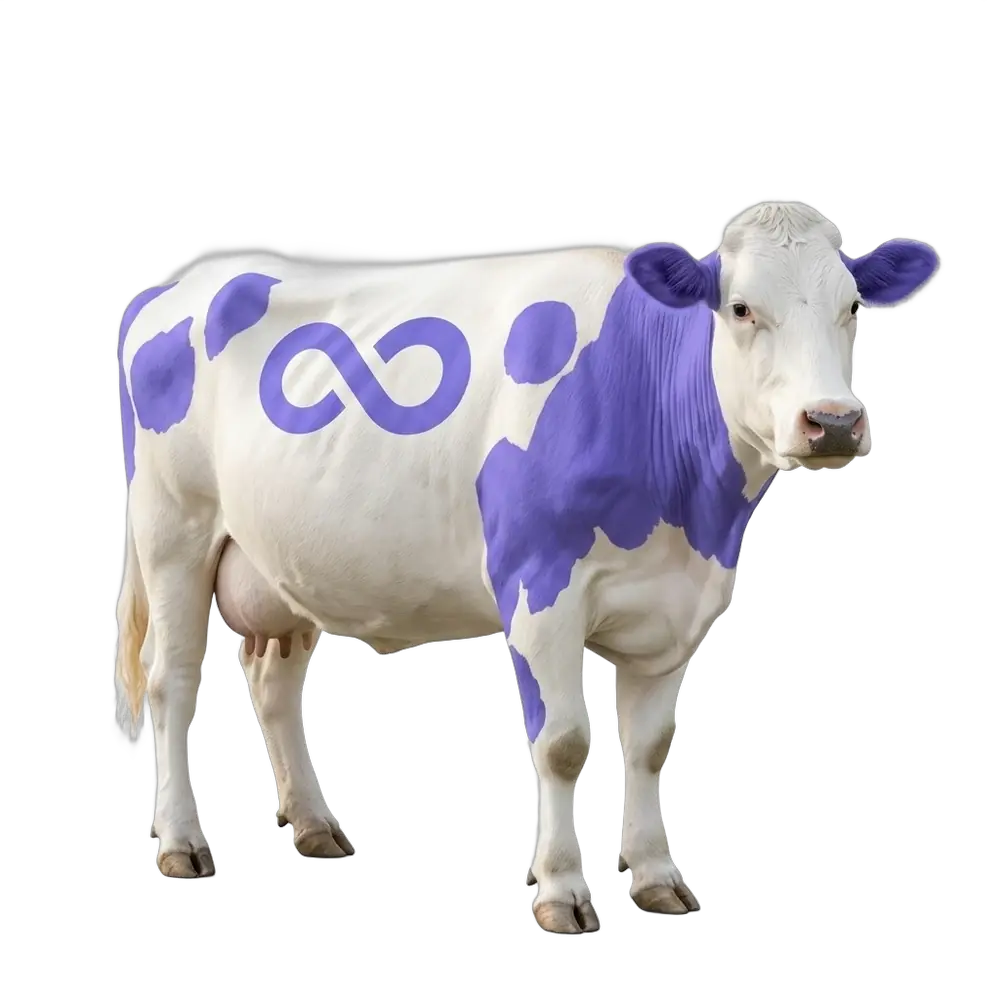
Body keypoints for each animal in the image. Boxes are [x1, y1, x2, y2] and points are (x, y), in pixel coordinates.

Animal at [114, 202, 938, 930]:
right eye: (740, 309)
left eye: (853, 307)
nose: (832, 421)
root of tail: (177, 286)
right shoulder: (540, 587)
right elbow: (564, 742)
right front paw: (561, 891)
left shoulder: (678, 607)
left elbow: (649, 744)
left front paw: (657, 877)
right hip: (172, 530)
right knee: (172, 680)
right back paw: (182, 842)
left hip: (285, 560)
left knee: (273, 683)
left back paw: (316, 826)